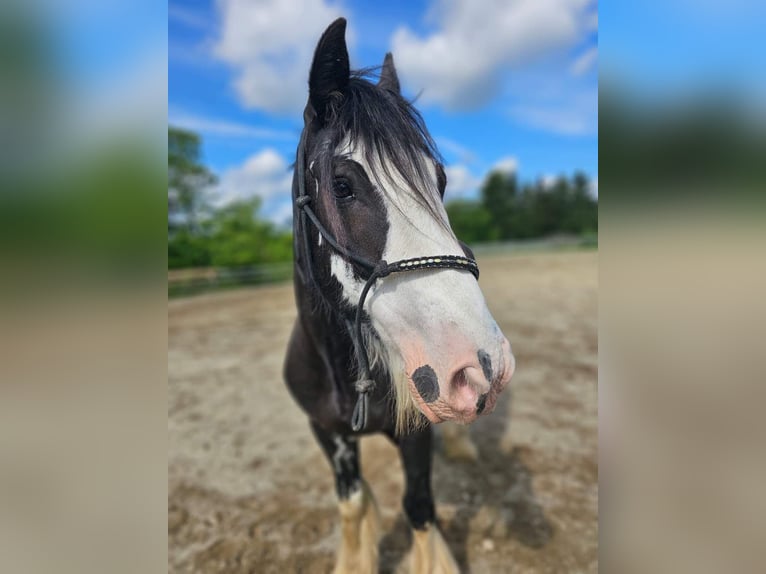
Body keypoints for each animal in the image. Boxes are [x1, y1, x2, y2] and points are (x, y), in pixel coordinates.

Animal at [284, 19, 520, 574]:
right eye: (342, 185)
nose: (480, 365)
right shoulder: (325, 431)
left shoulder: (416, 433)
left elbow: (419, 506)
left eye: (441, 180)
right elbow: (352, 504)